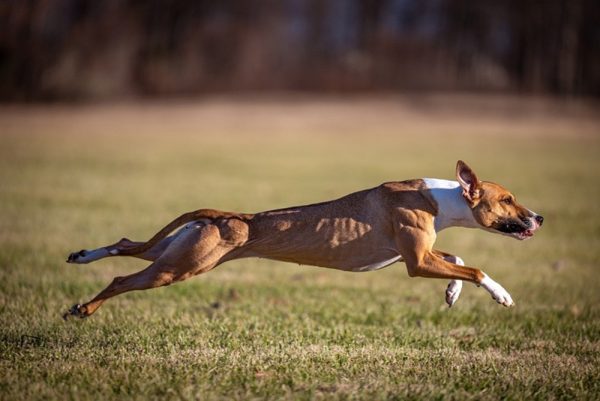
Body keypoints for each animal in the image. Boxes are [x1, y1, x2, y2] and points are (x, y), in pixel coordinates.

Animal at [65, 159, 544, 318]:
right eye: (507, 200)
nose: (539, 217)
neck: (439, 197)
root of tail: (224, 216)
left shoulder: (419, 254)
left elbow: (459, 257)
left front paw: (450, 294)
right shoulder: (416, 262)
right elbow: (476, 266)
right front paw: (501, 294)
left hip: (177, 251)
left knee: (126, 245)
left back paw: (83, 256)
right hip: (180, 268)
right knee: (122, 280)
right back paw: (83, 309)